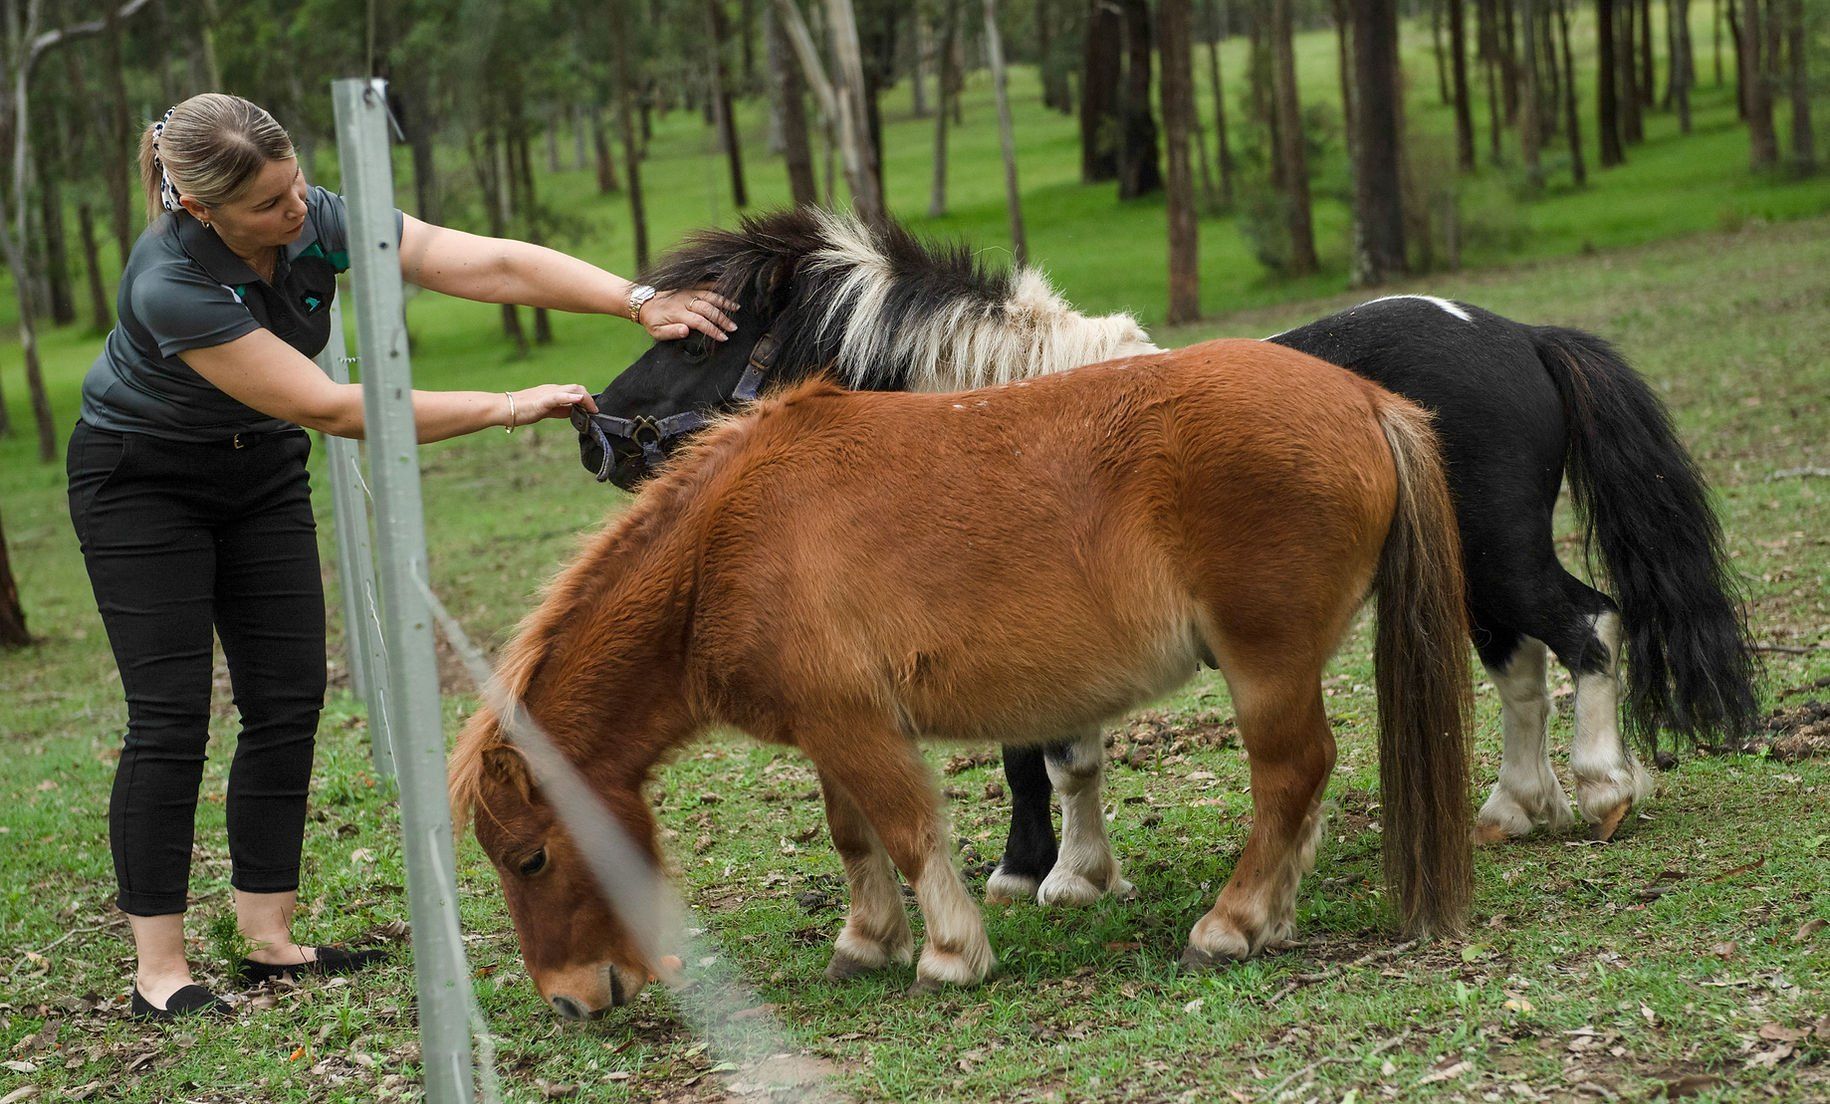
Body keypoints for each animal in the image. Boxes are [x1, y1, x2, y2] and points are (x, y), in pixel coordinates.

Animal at [459, 342, 1473, 1018]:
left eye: (531, 857)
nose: (569, 1001)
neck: (729, 544)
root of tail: (1365, 400)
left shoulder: (859, 728)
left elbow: (908, 832)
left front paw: (949, 954)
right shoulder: (831, 725)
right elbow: (853, 836)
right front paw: (866, 942)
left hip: (1267, 666)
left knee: (1290, 774)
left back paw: (1228, 926)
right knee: (1303, 785)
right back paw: (1275, 919)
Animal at [574, 207, 1758, 906]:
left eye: (700, 333)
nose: (595, 430)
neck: (983, 411)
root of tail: (1517, 334)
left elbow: (1051, 755)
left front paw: (1055, 874)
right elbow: (1047, 752)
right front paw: (1051, 868)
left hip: (1504, 556)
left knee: (1589, 627)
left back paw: (1603, 789)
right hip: (1465, 570)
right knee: (1518, 665)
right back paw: (1518, 807)